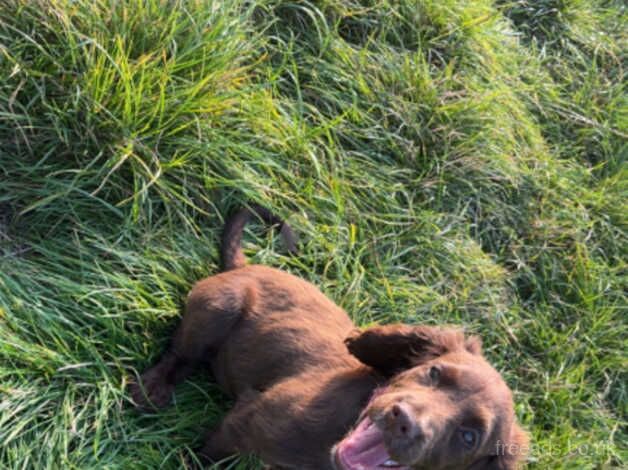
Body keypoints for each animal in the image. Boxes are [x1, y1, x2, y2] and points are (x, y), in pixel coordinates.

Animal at [130, 207, 528, 470]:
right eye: (434, 373)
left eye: (468, 437)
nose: (402, 420)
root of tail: (243, 265)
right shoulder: (247, 418)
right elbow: (209, 457)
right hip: (218, 306)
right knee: (182, 353)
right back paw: (152, 388)